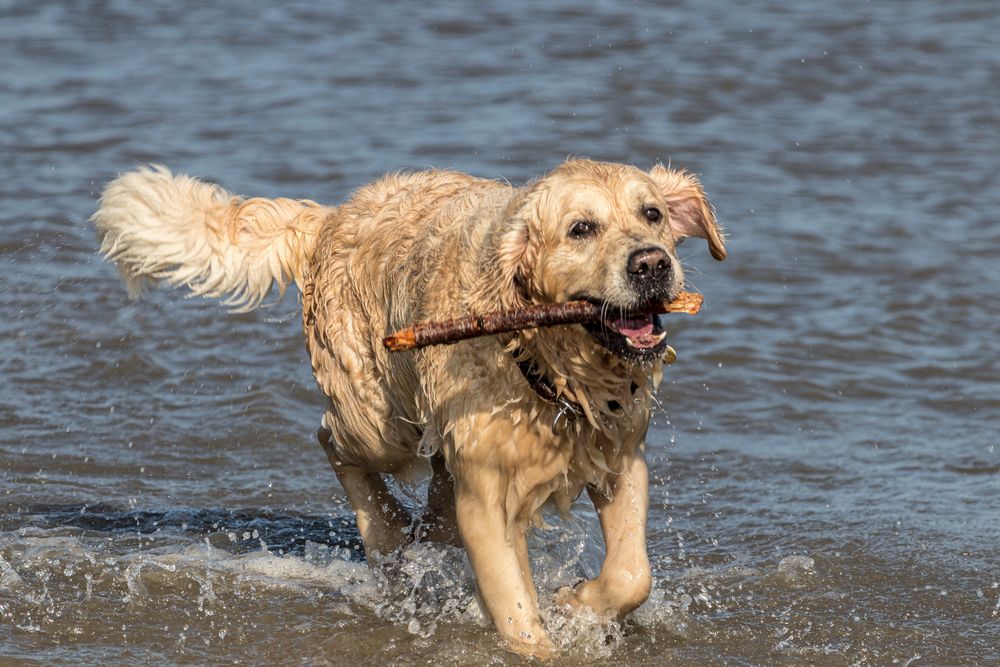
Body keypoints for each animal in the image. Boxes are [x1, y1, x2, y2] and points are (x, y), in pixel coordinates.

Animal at [94, 159, 728, 656]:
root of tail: (331, 217)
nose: (651, 263)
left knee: (431, 511)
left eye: (652, 214)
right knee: (332, 440)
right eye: (581, 229)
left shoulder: (621, 455)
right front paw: (551, 631)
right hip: (379, 420)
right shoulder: (486, 499)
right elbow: (518, 613)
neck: (542, 365)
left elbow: (631, 573)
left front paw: (577, 604)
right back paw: (384, 531)